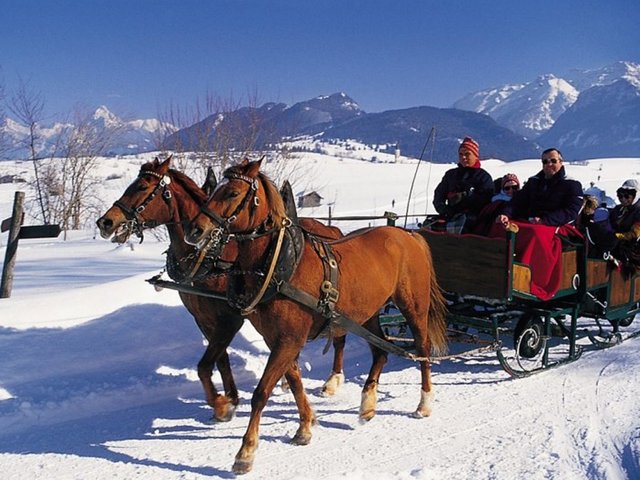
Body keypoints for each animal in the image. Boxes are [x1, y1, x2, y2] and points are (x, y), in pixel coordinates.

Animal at [95, 156, 344, 422]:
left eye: (142, 187)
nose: (105, 222)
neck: (211, 256)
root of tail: (332, 229)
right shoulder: (204, 318)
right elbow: (220, 358)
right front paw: (229, 398)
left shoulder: (229, 318)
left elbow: (206, 364)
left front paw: (221, 404)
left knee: (339, 336)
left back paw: (333, 380)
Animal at [182, 159, 448, 474]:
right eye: (214, 190)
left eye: (233, 192)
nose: (194, 230)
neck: (282, 265)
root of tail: (408, 235)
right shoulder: (278, 339)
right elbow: (294, 380)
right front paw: (305, 427)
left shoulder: (289, 339)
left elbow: (262, 392)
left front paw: (245, 452)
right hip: (366, 313)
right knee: (381, 352)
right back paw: (368, 405)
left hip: (413, 306)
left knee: (422, 348)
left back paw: (424, 403)